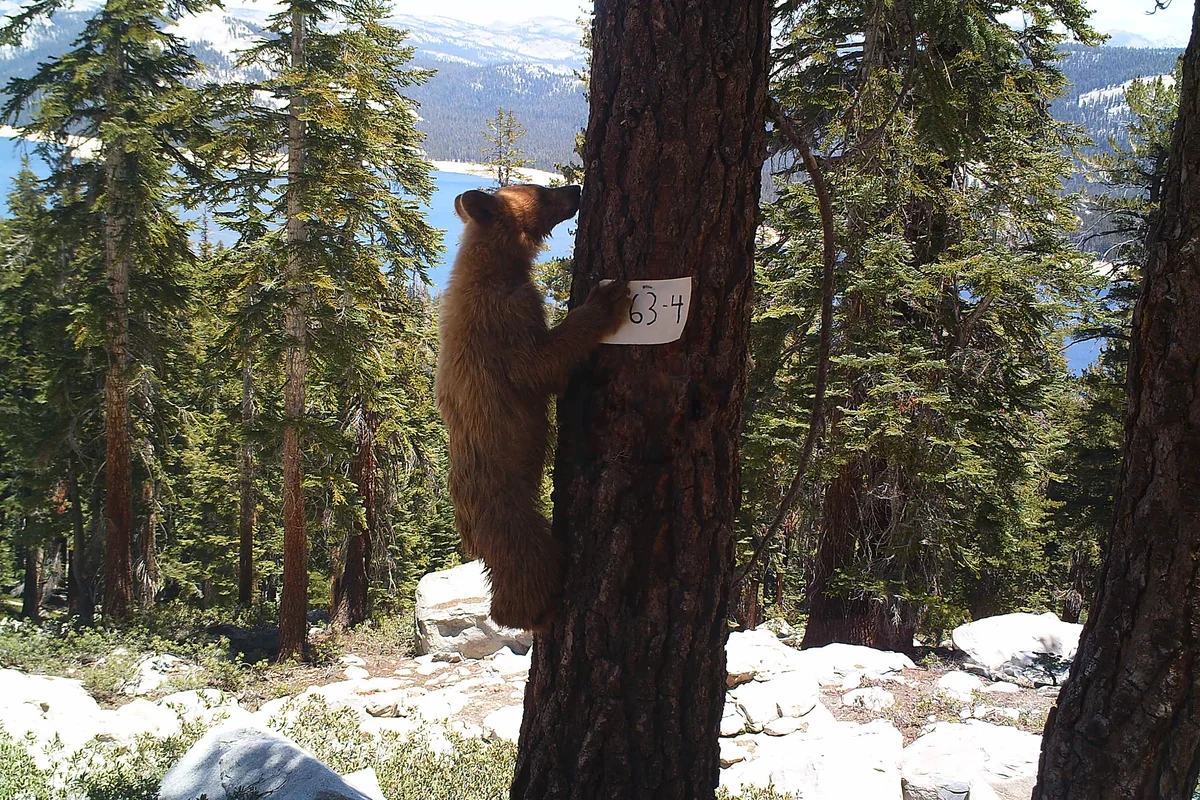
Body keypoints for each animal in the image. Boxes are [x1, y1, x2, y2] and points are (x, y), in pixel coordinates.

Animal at [439, 183, 628, 633]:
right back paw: (533, 609)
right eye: (542, 192)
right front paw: (603, 300)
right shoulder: (506, 319)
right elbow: (539, 366)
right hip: (508, 508)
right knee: (527, 559)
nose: (575, 188)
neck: (494, 266)